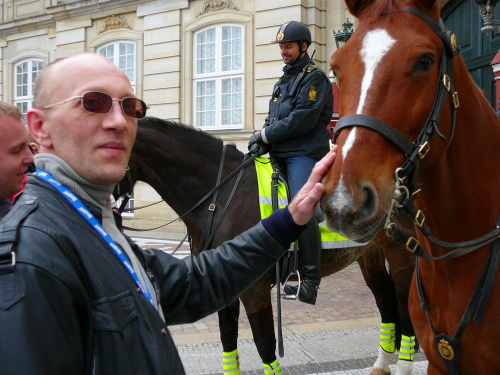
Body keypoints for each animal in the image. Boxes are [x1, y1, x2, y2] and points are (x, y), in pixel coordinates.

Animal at [117, 118, 418, 375]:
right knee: (386, 302)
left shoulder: (255, 290)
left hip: (402, 257)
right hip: (369, 257)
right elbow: (228, 339)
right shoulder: (224, 284)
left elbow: (265, 345)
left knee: (405, 308)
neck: (221, 196)